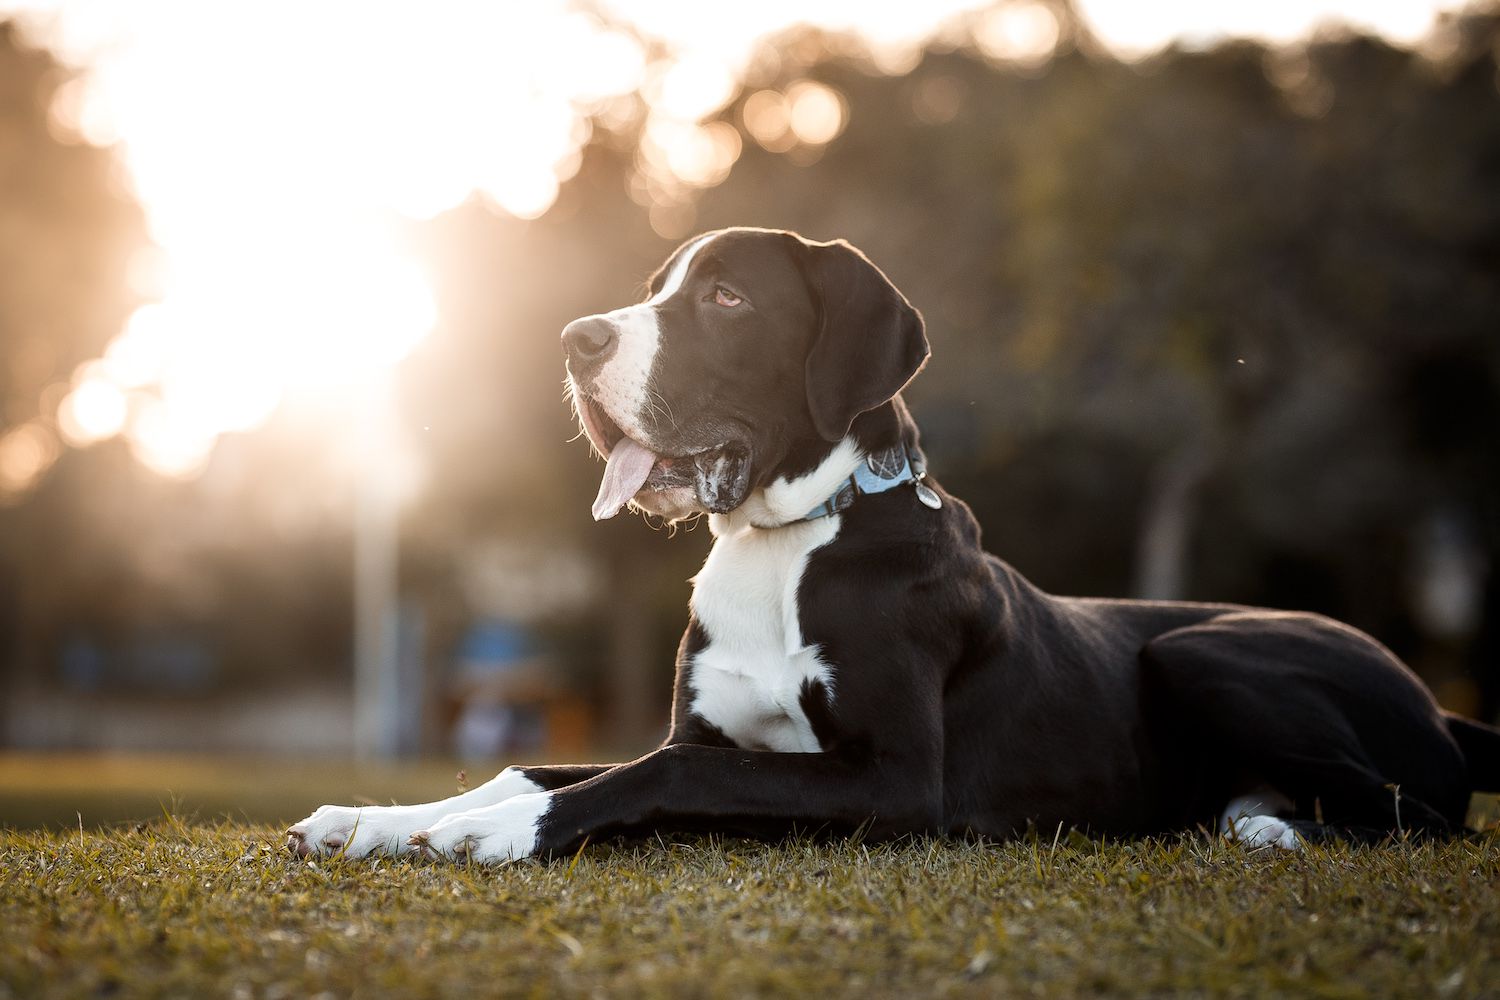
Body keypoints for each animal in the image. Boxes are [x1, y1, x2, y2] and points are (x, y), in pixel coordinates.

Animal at [289, 224, 1500, 863]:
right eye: (653, 291)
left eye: (725, 298)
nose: (575, 339)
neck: (791, 537)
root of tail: (1442, 707)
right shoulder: (718, 736)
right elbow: (547, 759)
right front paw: (377, 817)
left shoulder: (900, 781)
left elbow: (653, 772)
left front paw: (502, 832)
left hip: (1204, 648)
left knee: (1417, 813)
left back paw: (1269, 826)